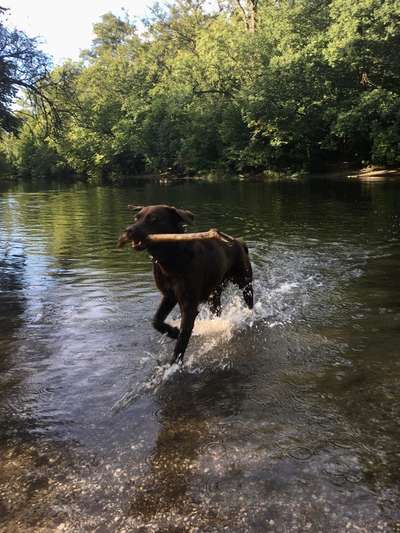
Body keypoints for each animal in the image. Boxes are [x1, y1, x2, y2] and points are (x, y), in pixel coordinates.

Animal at [117, 206, 253, 364]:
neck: (172, 258)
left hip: (245, 283)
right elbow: (156, 321)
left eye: (154, 219)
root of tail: (239, 241)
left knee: (249, 302)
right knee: (217, 311)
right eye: (136, 218)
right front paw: (173, 332)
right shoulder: (169, 296)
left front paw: (173, 365)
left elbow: (182, 339)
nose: (128, 230)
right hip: (214, 294)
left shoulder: (188, 304)